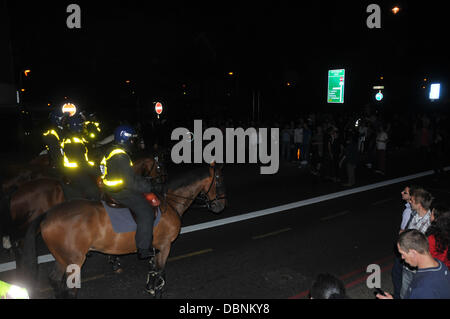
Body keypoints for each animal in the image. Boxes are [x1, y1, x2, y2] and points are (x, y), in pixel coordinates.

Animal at [24, 165, 225, 300]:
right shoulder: (165, 246)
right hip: (74, 260)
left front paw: (150, 287)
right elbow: (160, 274)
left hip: (61, 259)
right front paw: (157, 291)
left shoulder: (155, 248)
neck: (169, 202)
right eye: (219, 180)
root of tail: (48, 213)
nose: (221, 205)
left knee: (55, 282)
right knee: (69, 289)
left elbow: (153, 270)